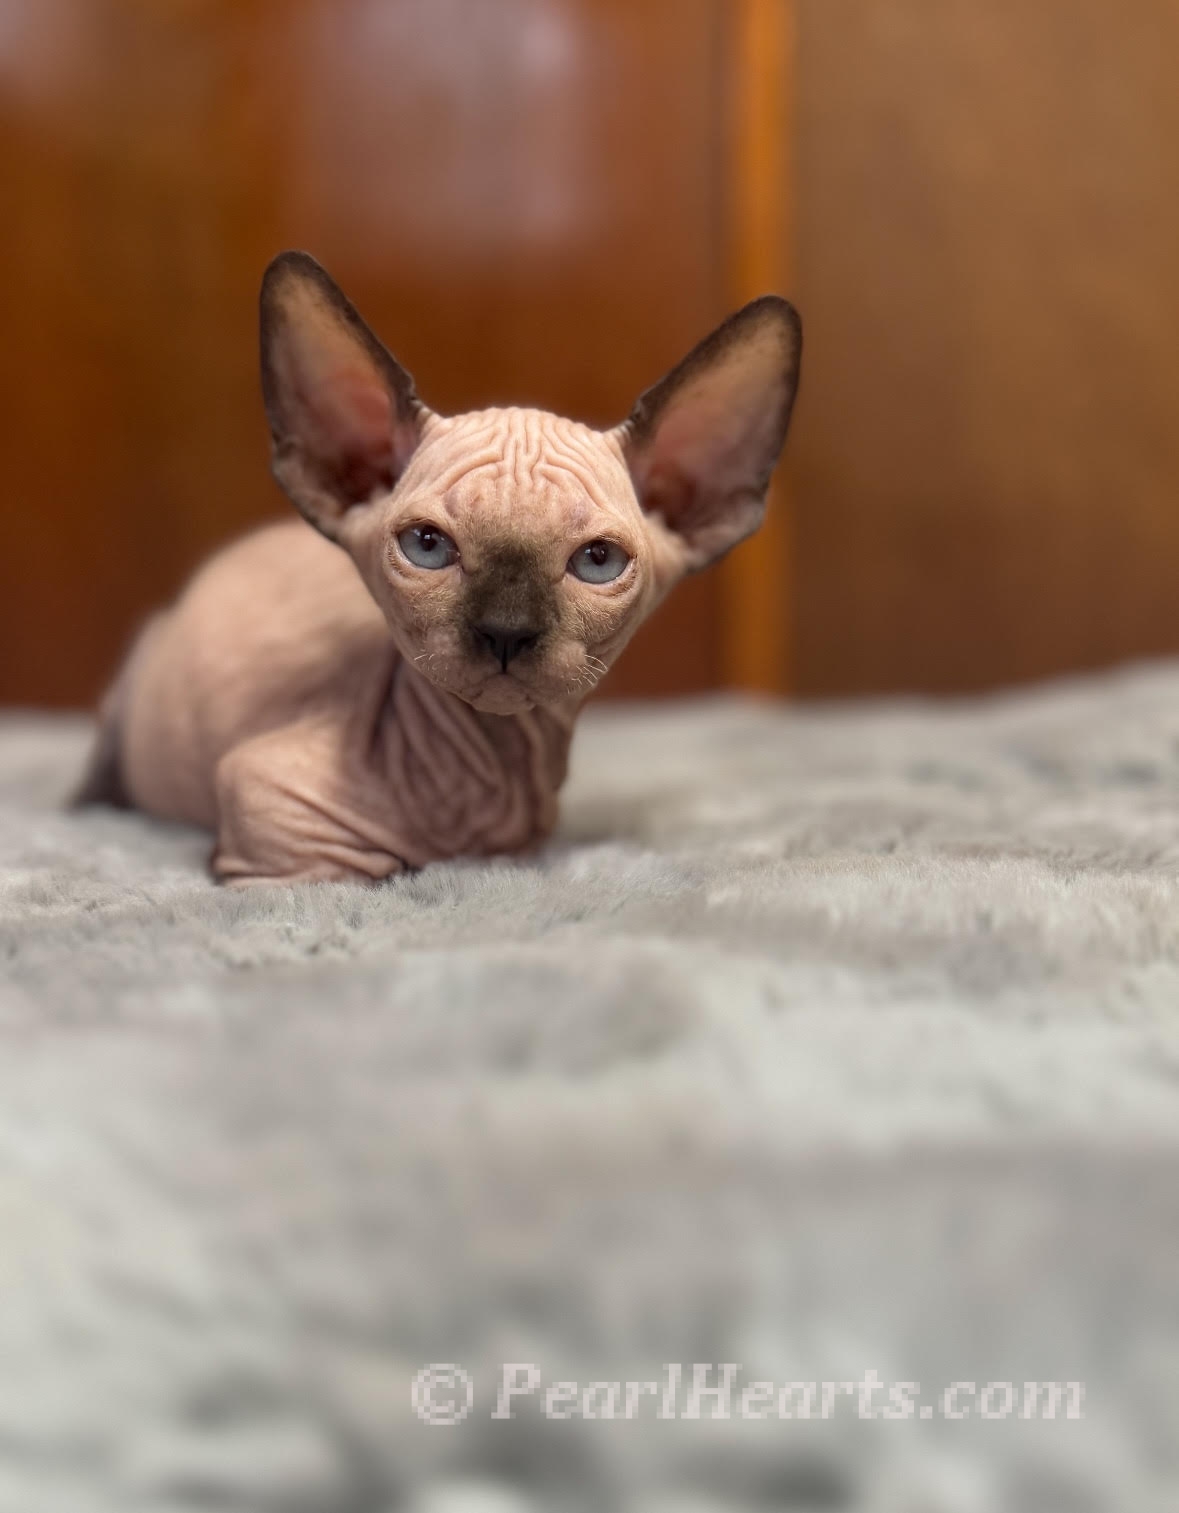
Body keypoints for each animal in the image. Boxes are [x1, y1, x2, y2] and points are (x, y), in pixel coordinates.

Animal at [78, 252, 805, 883]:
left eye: (597, 561)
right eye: (427, 546)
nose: (506, 630)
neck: (495, 769)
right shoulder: (265, 810)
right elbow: (345, 867)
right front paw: (401, 862)